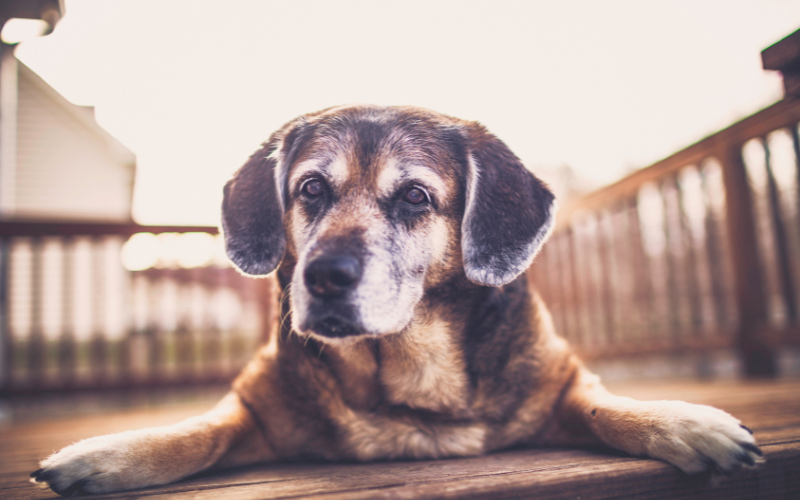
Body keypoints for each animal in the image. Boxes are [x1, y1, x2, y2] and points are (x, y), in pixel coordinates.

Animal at [31, 105, 760, 496]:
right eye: (311, 189)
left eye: (414, 196)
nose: (324, 277)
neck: (407, 378)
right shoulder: (256, 409)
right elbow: (197, 433)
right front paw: (103, 456)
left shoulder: (562, 384)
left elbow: (609, 406)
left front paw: (689, 424)